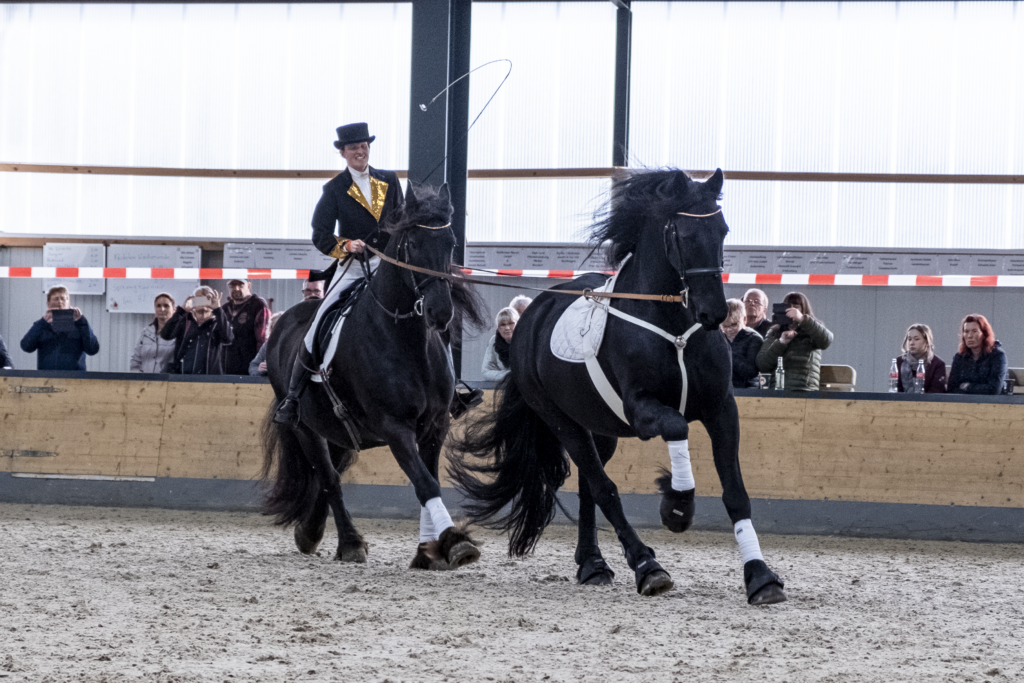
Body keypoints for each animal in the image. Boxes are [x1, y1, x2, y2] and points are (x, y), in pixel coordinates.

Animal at [262, 183, 489, 573]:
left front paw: (427, 550)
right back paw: (349, 543)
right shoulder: (395, 426)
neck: (406, 339)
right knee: (328, 478)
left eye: (450, 242)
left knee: (330, 473)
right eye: (412, 242)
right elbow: (425, 484)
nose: (440, 312)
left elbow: (428, 481)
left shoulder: (435, 424)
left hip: (336, 429)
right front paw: (454, 543)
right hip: (305, 427)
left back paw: (311, 532)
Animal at [452, 169, 786, 602]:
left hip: (600, 428)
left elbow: (736, 493)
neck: (673, 325)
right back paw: (646, 566)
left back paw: (593, 564)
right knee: (603, 487)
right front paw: (676, 506)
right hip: (564, 423)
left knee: (588, 487)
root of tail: (533, 316)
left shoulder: (720, 409)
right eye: (682, 233)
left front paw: (761, 576)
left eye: (723, 230)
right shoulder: (641, 410)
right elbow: (676, 426)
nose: (714, 313)